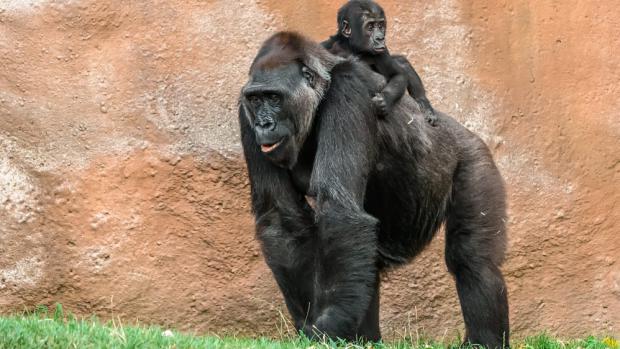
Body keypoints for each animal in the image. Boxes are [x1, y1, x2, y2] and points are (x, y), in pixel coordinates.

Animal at [237, 31, 508, 346]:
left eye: (274, 97)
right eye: (255, 100)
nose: (264, 125)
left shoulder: (348, 90)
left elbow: (339, 209)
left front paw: (330, 323)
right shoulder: (244, 113)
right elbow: (281, 219)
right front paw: (309, 324)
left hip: (474, 156)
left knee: (473, 261)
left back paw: (484, 340)